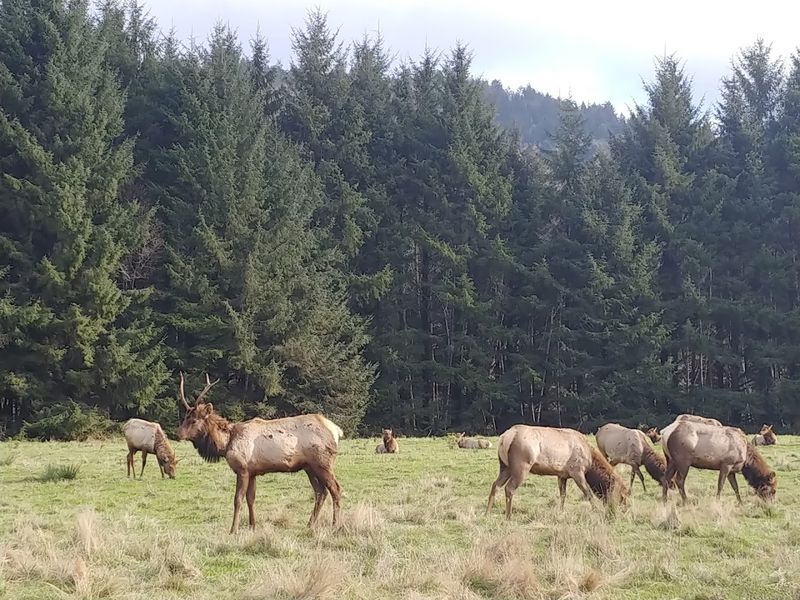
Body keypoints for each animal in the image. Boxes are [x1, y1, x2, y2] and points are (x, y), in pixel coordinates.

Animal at [175, 373, 344, 532]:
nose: (178, 435)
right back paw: (310, 525)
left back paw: (335, 525)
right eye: (184, 418)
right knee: (321, 492)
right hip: (309, 467)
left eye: (194, 420)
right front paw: (253, 526)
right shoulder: (253, 472)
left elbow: (238, 499)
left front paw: (233, 530)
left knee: (335, 489)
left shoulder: (242, 469)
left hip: (322, 462)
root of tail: (336, 430)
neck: (226, 444)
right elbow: (251, 499)